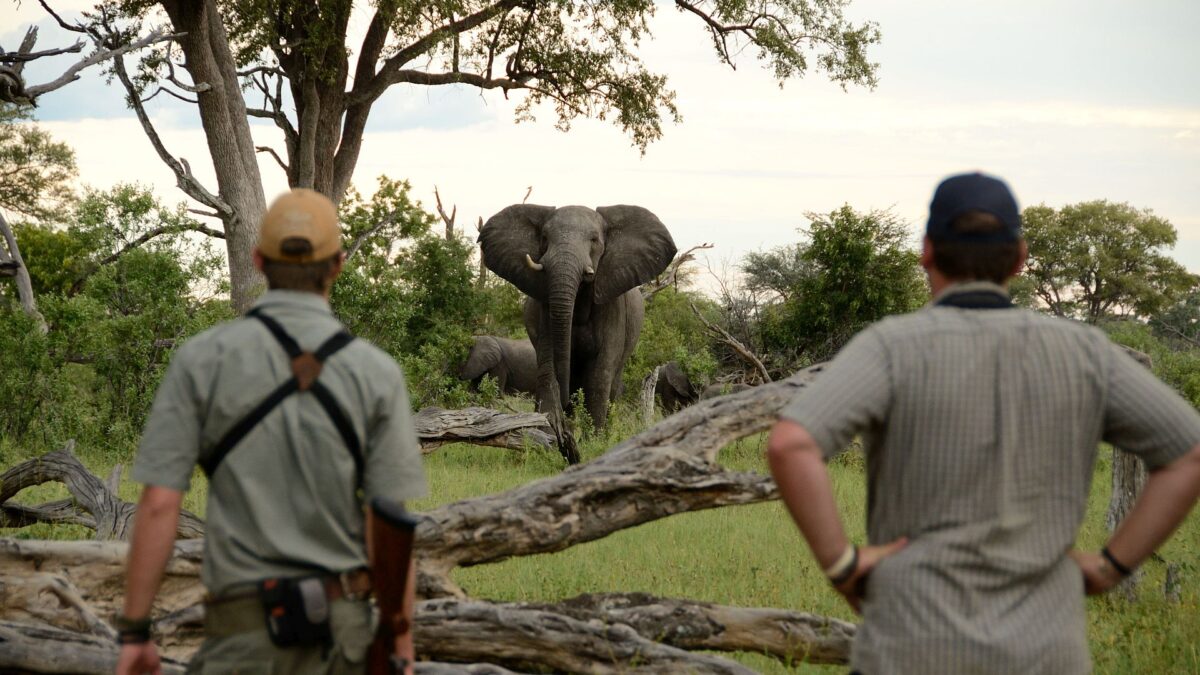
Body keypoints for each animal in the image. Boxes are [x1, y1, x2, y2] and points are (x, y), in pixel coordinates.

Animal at [482, 201, 681, 458]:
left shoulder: (612, 308)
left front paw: (594, 442)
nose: (565, 406)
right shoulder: (544, 308)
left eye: (595, 240)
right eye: (544, 237)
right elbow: (548, 369)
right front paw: (548, 437)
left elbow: (599, 374)